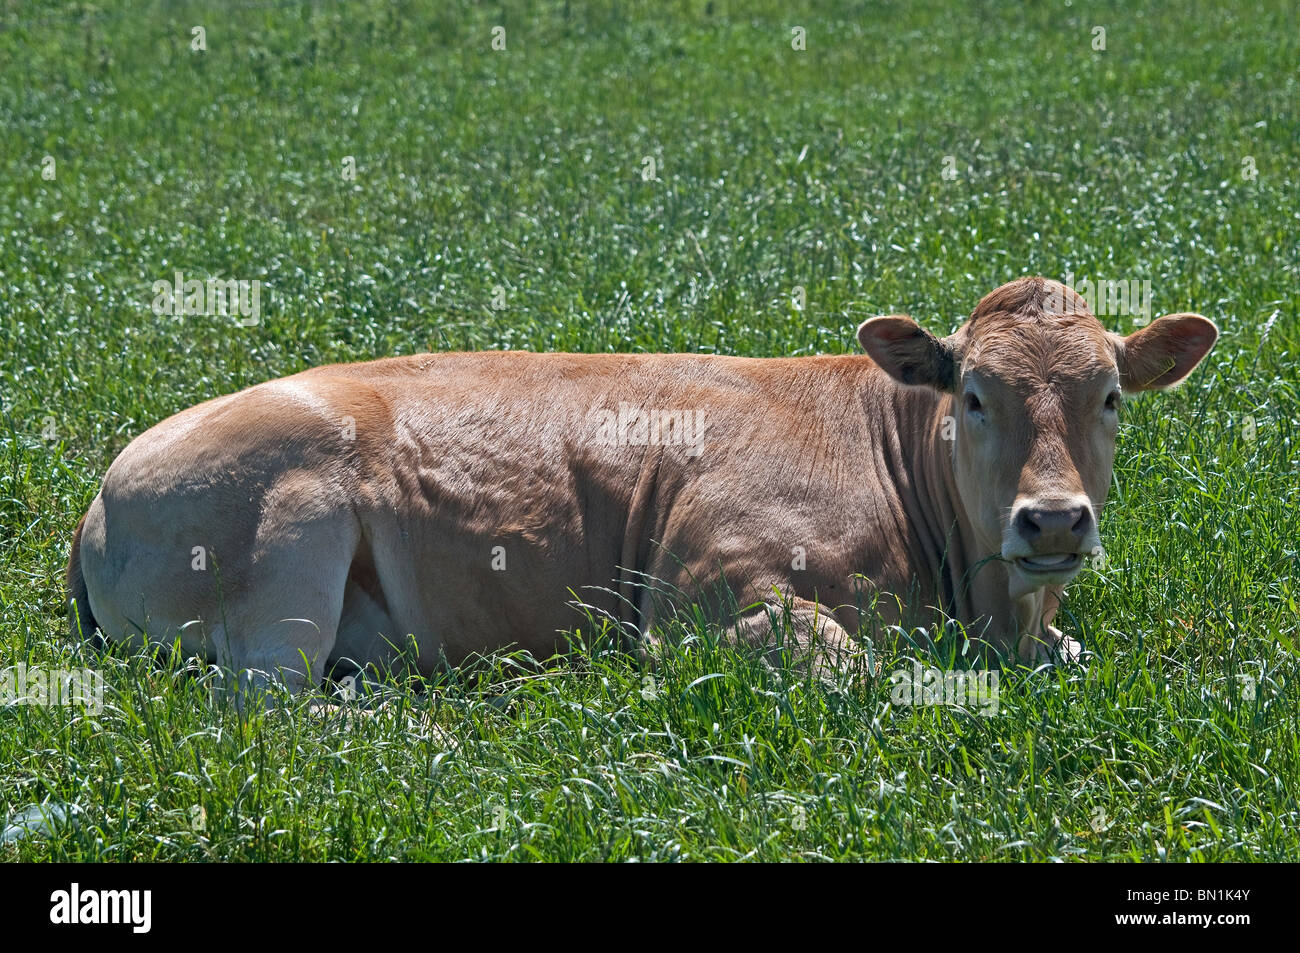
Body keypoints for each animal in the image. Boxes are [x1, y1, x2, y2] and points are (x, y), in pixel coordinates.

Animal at [63, 275, 1216, 691]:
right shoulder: (704, 596)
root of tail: (101, 493)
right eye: (973, 394)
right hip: (288, 542)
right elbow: (864, 672)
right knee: (265, 701)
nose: (1053, 520)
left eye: (1111, 393)